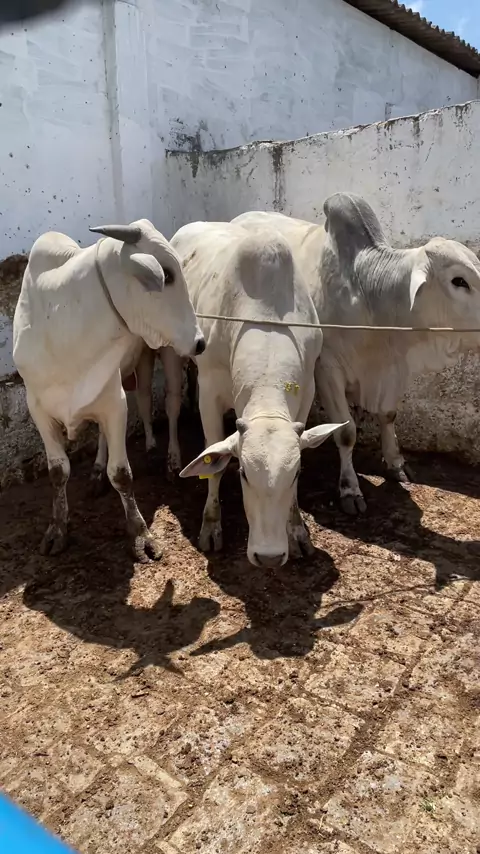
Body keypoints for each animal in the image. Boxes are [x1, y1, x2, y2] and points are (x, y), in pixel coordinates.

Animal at [13, 220, 205, 560]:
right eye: (167, 275)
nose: (200, 341)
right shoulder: (40, 410)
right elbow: (58, 471)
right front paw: (57, 529)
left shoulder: (114, 402)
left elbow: (122, 474)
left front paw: (141, 535)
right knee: (140, 401)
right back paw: (101, 470)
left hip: (167, 353)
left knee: (170, 404)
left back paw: (170, 460)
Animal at [166, 220, 345, 567]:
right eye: (244, 473)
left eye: (296, 472)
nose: (269, 557)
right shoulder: (210, 391)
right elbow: (213, 462)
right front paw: (211, 525)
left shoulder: (306, 392)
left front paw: (297, 531)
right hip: (172, 352)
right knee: (172, 403)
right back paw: (172, 455)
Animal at [233, 194, 480, 513]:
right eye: (459, 281)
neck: (371, 299)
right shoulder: (328, 370)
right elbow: (346, 432)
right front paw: (350, 489)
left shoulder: (394, 370)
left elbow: (388, 414)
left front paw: (396, 463)